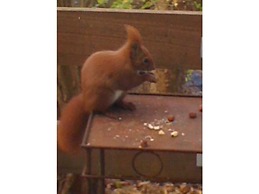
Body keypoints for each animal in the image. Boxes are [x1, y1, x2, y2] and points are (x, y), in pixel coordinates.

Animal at [57, 24, 156, 155]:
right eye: (145, 60)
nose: (154, 67)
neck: (127, 61)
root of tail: (86, 102)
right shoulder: (123, 74)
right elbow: (132, 81)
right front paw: (149, 77)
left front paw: (151, 75)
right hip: (104, 95)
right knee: (99, 110)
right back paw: (109, 113)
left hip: (121, 94)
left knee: (118, 103)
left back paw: (126, 105)